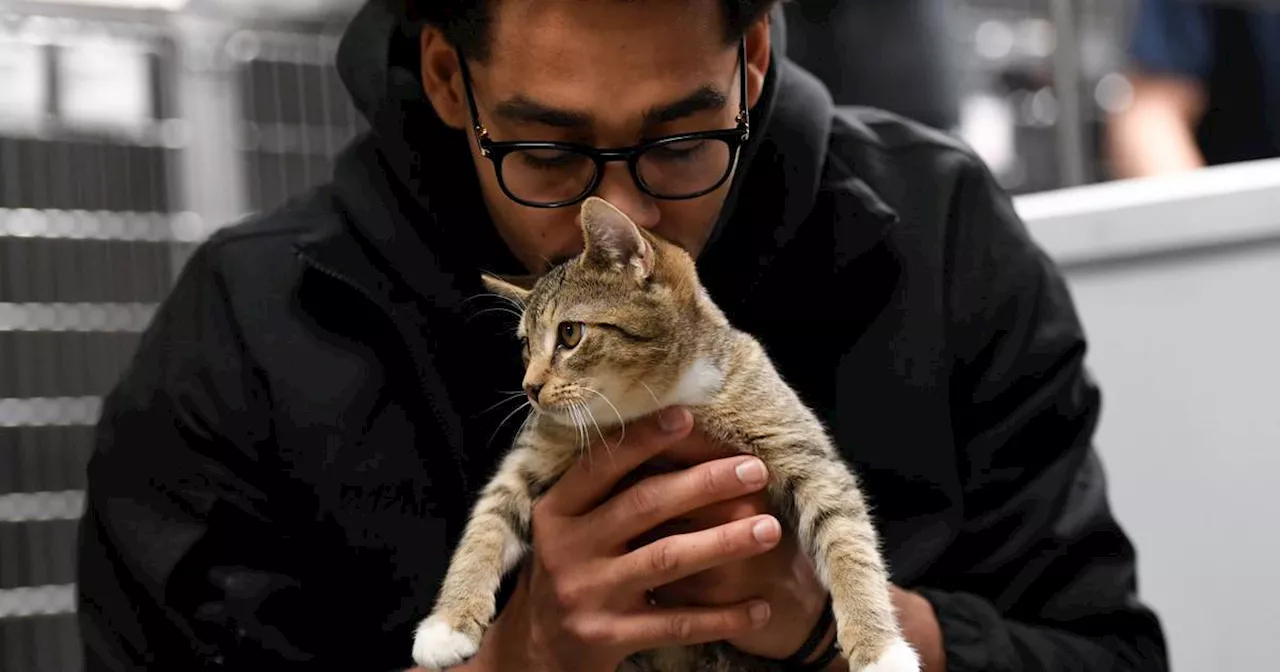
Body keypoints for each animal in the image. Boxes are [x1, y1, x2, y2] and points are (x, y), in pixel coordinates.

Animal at [412, 197, 921, 665]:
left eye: (570, 333)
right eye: (524, 346)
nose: (530, 388)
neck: (653, 403)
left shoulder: (798, 445)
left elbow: (847, 538)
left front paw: (878, 647)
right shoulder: (537, 453)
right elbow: (488, 520)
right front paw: (448, 623)